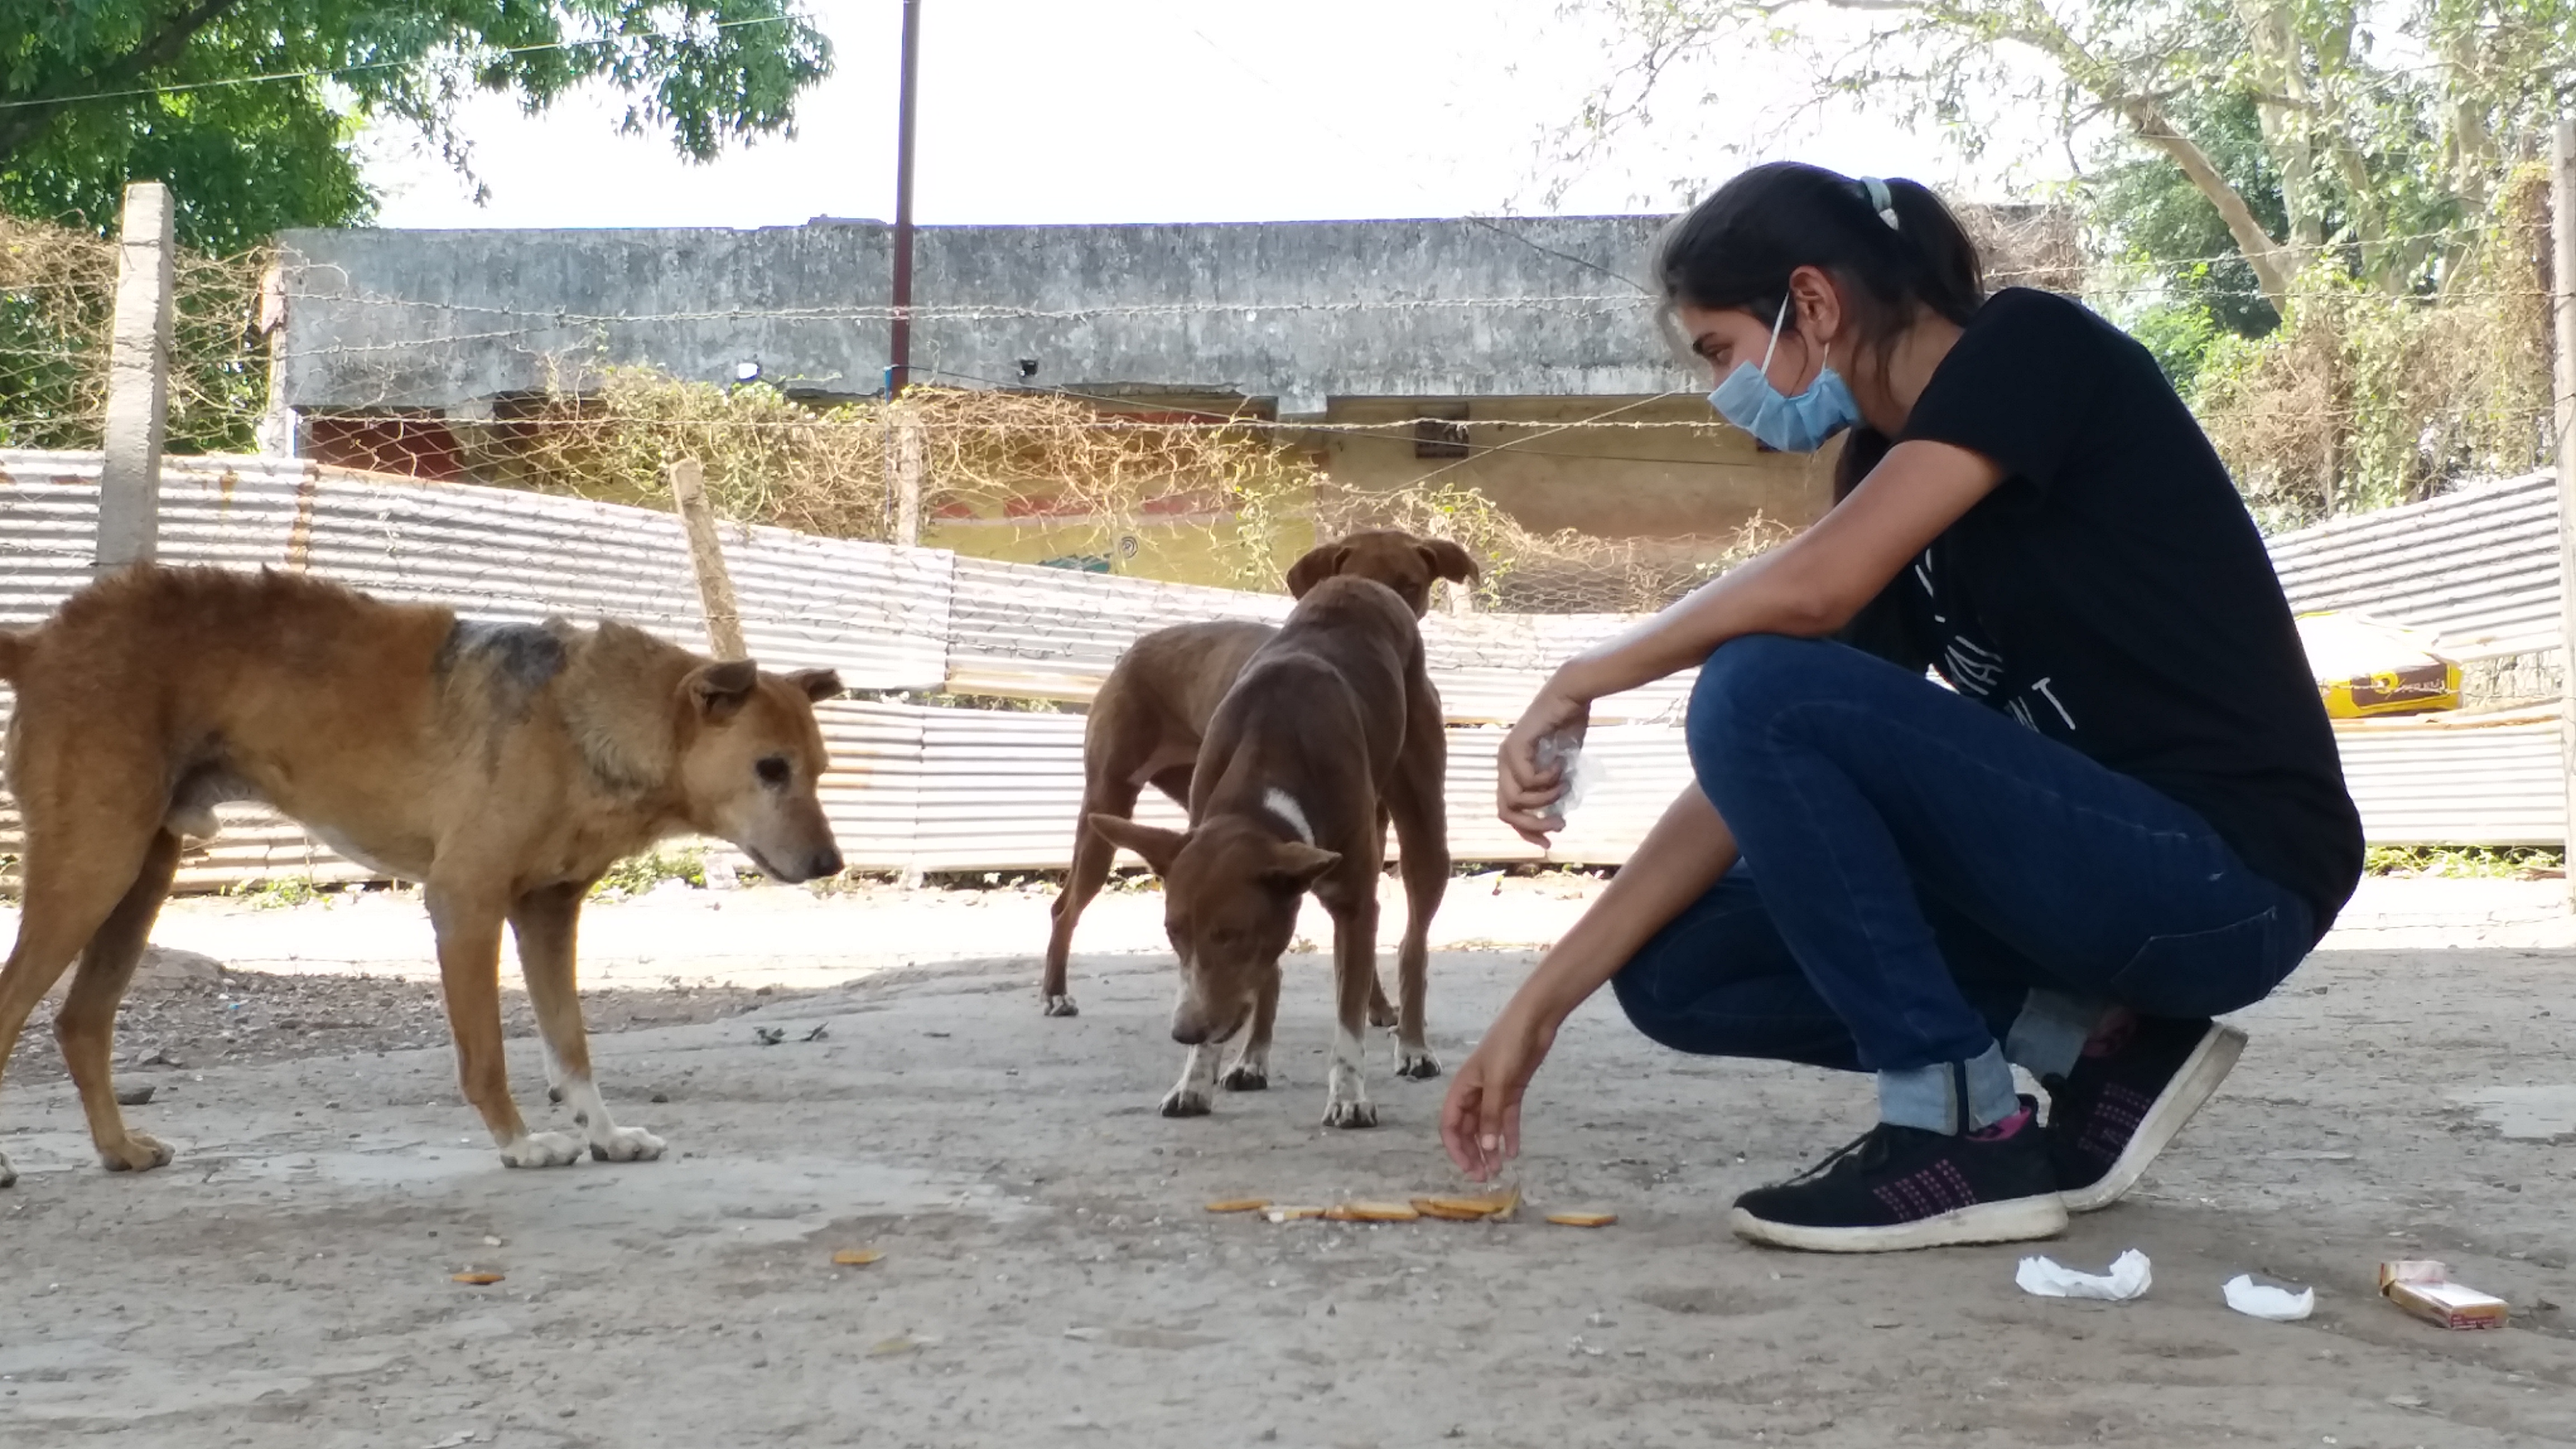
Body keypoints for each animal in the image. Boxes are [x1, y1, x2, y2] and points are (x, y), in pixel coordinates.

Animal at [0, 559, 845, 1181]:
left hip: (141, 873)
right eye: (770, 769)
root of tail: (42, 638)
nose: (831, 863)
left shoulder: (549, 912)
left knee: (80, 1022)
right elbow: (487, 1055)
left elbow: (571, 1046)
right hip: (93, 867)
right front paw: (521, 1144)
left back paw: (119, 1150)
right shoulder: (465, 903)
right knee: (18, 1006)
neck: (582, 722)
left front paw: (605, 1135)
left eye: (818, 771)